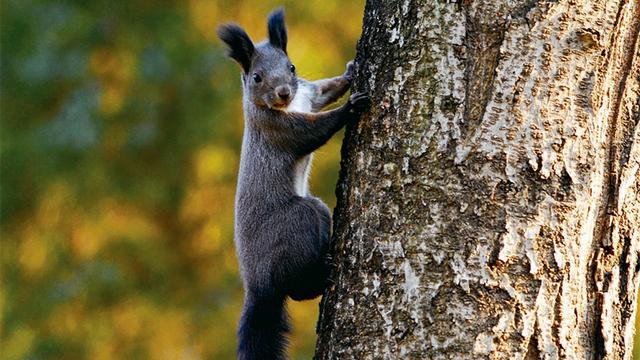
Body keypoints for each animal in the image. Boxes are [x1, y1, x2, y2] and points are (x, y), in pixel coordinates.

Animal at [218, 6, 370, 360]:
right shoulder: (280, 130)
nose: (284, 92)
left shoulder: (308, 93)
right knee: (296, 288)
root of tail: (257, 285)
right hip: (297, 221)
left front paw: (350, 72)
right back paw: (322, 273)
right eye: (257, 77)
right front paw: (351, 106)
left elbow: (325, 88)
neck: (289, 106)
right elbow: (315, 130)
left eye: (292, 67)